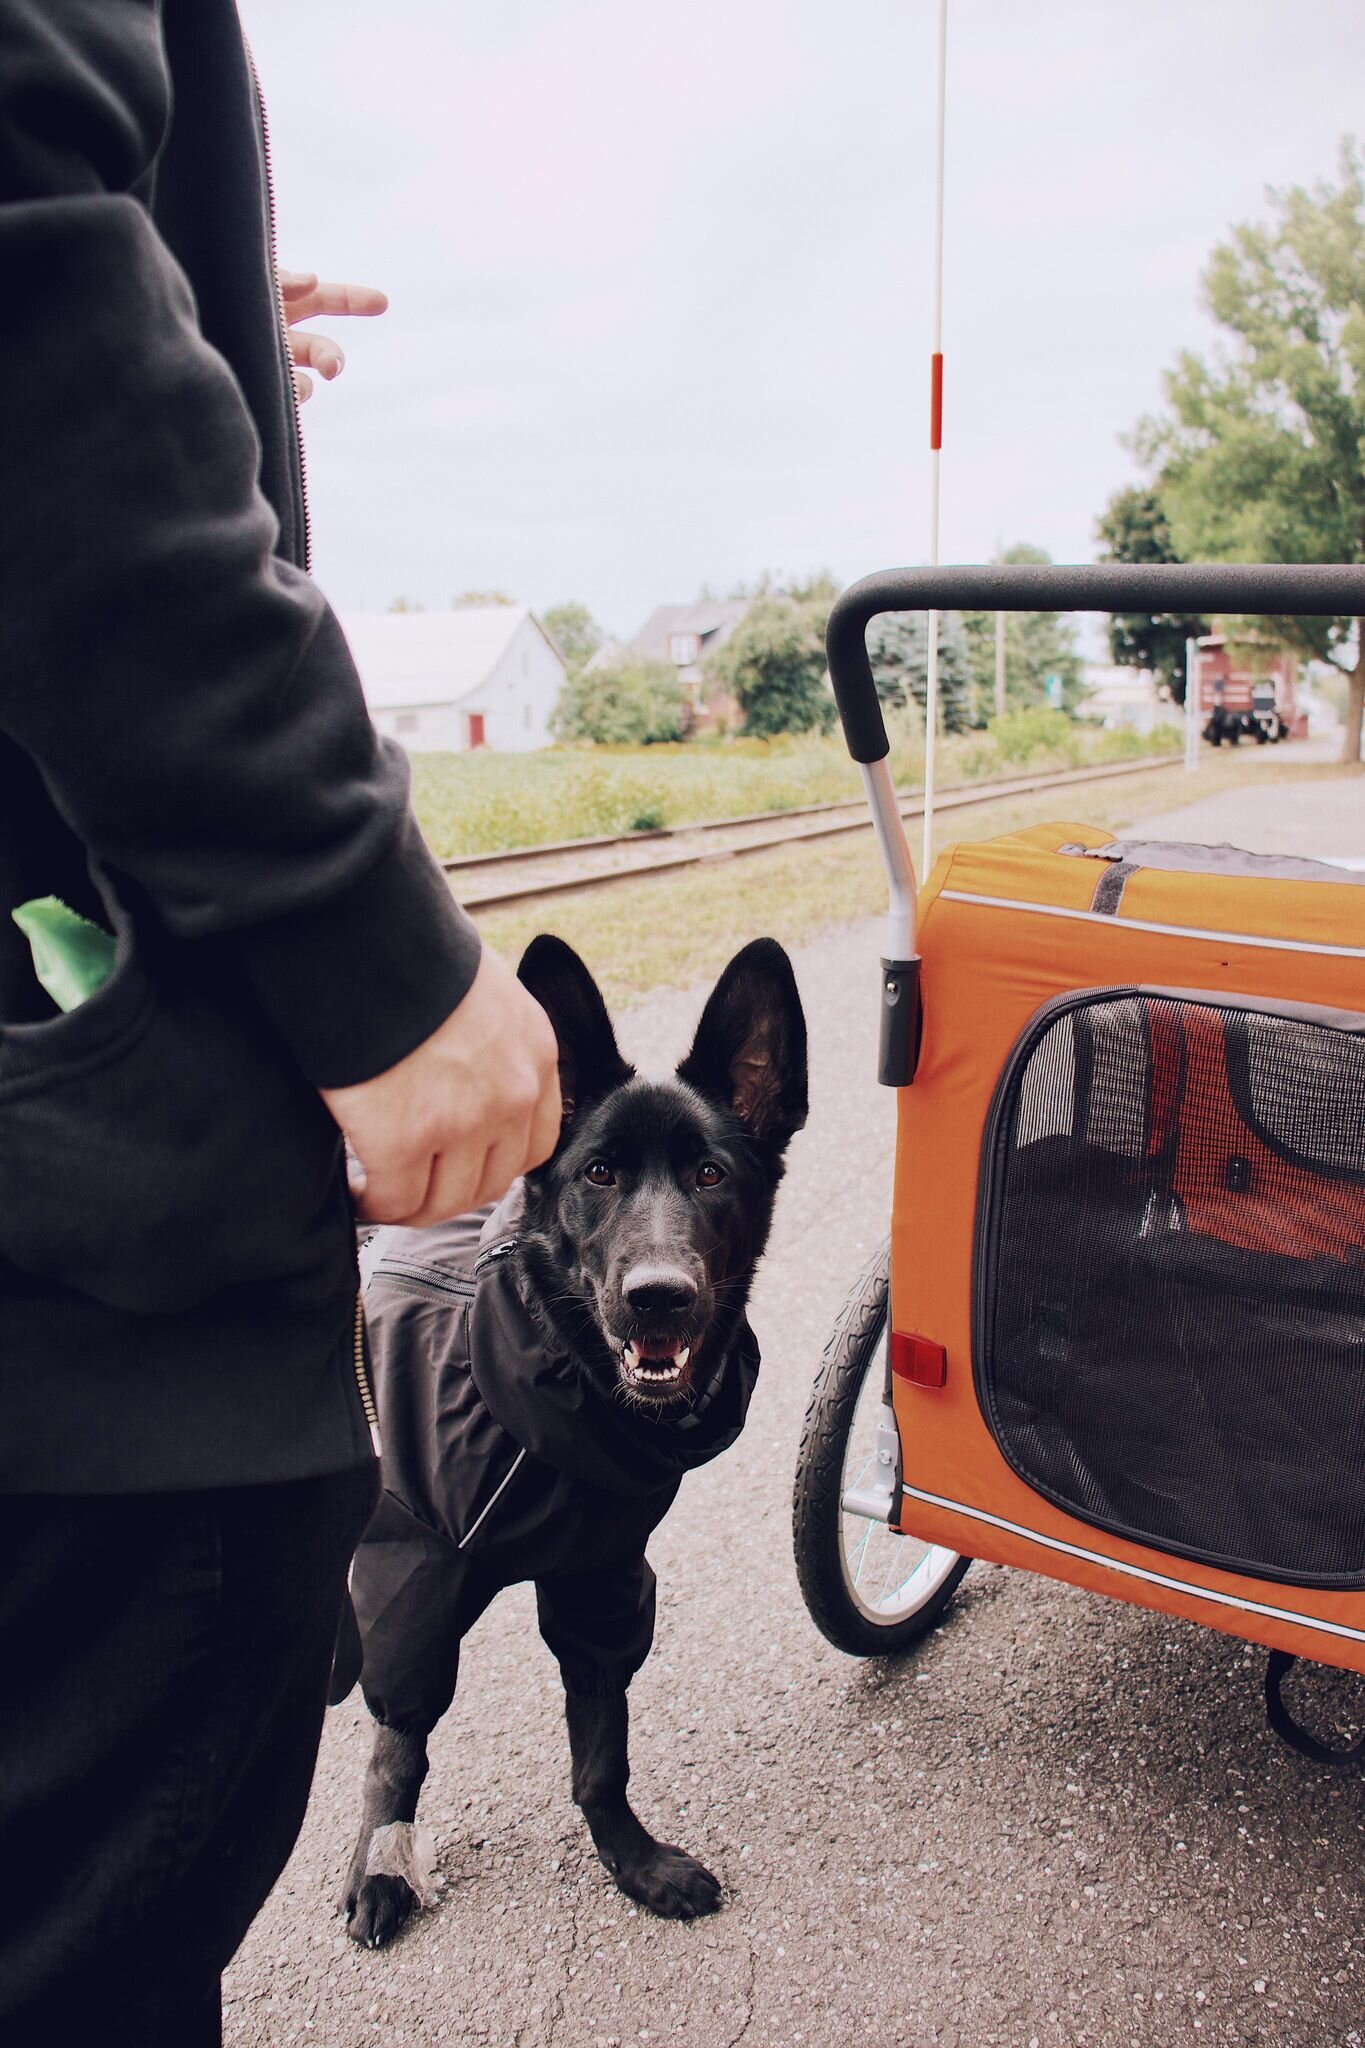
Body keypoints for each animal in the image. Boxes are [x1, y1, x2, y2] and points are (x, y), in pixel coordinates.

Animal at [343, 937, 810, 1941]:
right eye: (597, 1174)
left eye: (710, 1175)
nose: (658, 1296)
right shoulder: (412, 1578)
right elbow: (398, 1747)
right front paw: (381, 1866)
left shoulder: (602, 1581)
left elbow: (601, 1756)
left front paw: (632, 1864)